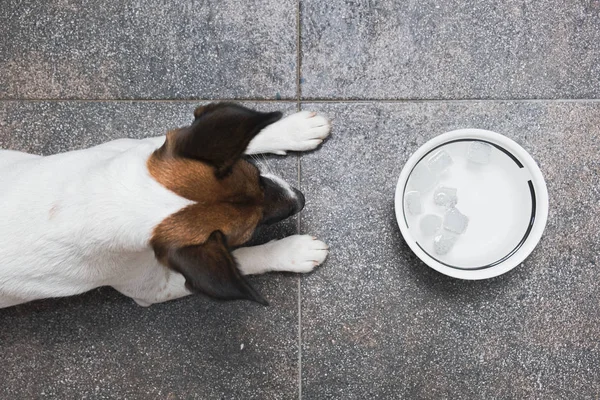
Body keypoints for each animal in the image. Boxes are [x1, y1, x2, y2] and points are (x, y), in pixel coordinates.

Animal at [0, 101, 330, 308]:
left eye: (256, 175)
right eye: (255, 227)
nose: (300, 199)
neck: (111, 199)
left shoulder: (140, 149)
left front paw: (293, 129)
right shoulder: (157, 288)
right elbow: (246, 259)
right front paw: (293, 251)